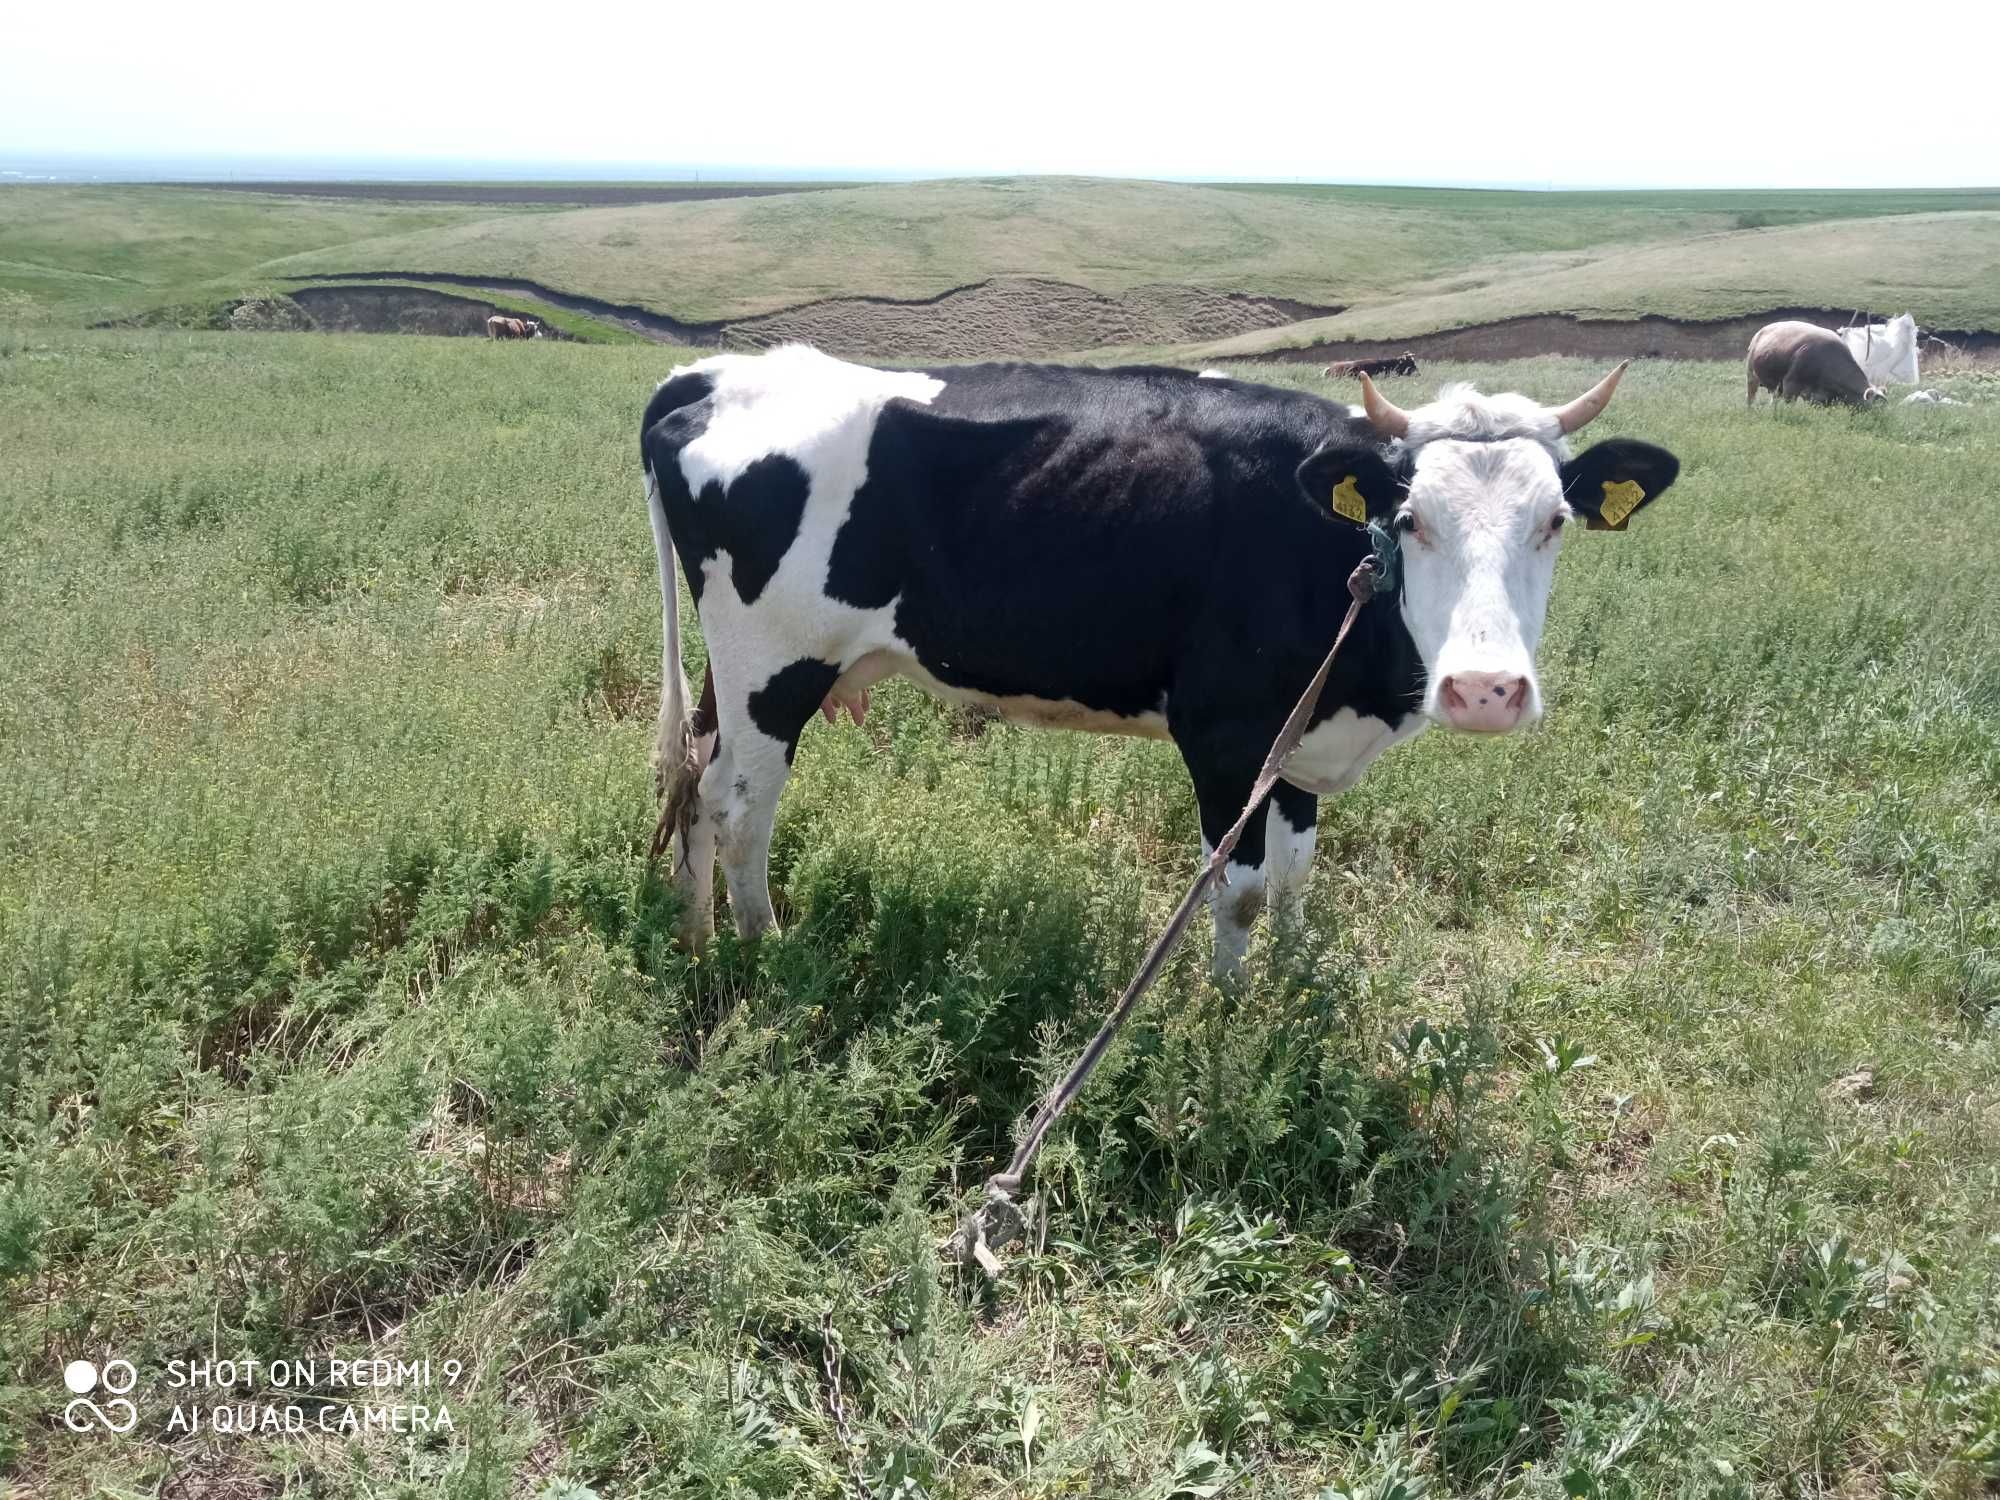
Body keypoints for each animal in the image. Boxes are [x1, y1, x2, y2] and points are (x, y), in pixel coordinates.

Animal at [640, 346, 1672, 976]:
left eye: (1556, 520)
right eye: (1412, 519)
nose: (1485, 689)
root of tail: (714, 373)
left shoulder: (1297, 733)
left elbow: (1296, 873)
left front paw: (1297, 991)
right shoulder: (1223, 733)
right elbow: (1243, 890)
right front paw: (1231, 1019)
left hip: (733, 676)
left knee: (693, 776)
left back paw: (693, 937)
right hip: (775, 667)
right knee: (740, 806)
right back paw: (765, 951)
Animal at [1744, 322, 1880, 406]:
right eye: (1876, 405)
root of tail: (1761, 331)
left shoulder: (1822, 398)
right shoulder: (1790, 384)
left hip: (1776, 387)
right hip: (1752, 376)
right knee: (1750, 397)